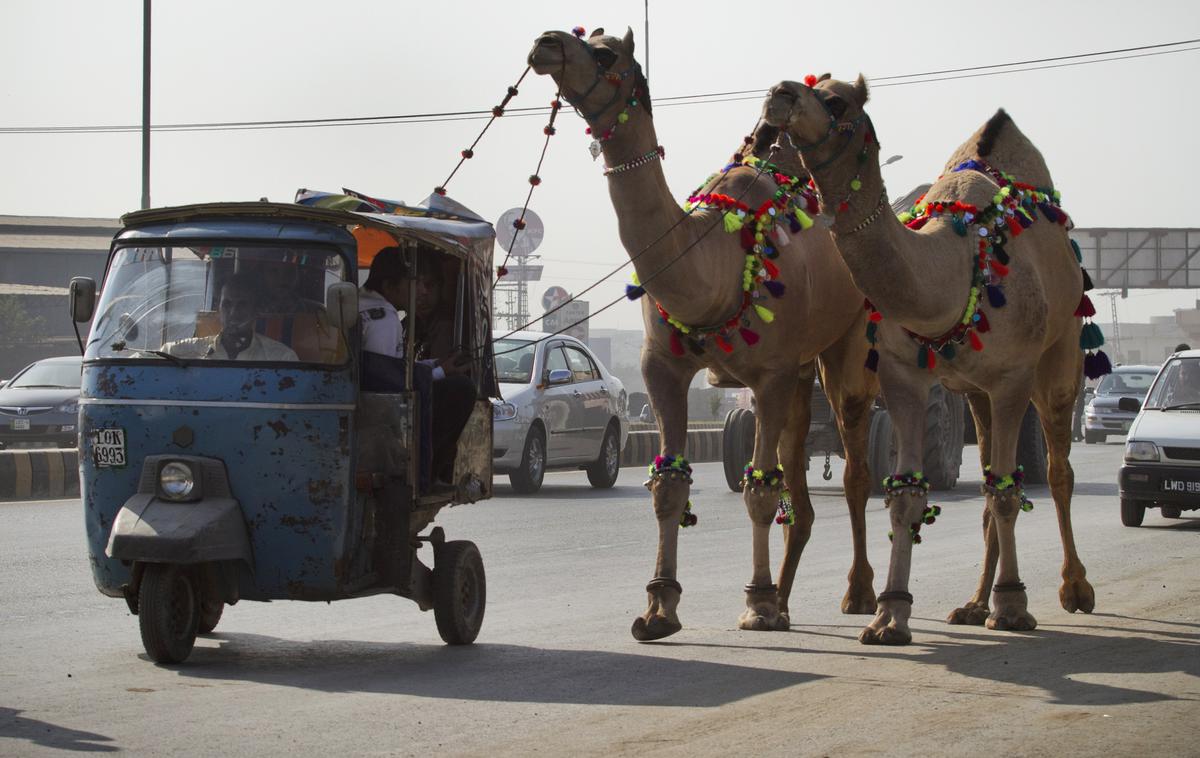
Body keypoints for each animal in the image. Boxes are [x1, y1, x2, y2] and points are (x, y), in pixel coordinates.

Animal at [530, 26, 878, 638]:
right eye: (583, 33)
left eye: (605, 52)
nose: (546, 42)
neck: (716, 259)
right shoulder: (661, 366)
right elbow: (670, 483)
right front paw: (658, 607)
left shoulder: (768, 372)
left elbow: (759, 489)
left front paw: (755, 603)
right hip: (799, 376)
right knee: (799, 480)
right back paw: (787, 602)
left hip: (846, 345)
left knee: (855, 467)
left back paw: (854, 596)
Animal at [758, 75, 1104, 647]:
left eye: (836, 99)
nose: (780, 94)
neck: (953, 272)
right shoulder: (903, 374)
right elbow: (906, 493)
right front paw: (889, 615)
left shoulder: (1012, 377)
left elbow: (1010, 493)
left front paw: (1014, 607)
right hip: (976, 392)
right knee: (988, 476)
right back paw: (973, 603)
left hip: (1059, 356)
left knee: (1056, 470)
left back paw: (1074, 589)